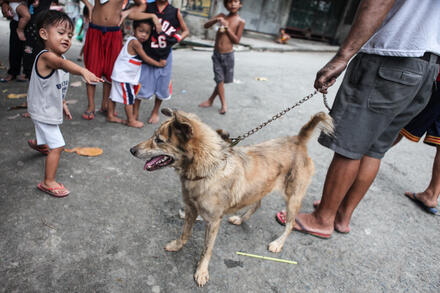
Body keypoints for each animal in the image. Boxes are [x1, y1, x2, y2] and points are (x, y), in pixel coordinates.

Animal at [131, 108, 334, 286]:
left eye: (159, 140)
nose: (132, 150)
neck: (206, 169)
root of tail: (298, 140)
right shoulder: (190, 209)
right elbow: (184, 233)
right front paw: (177, 245)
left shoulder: (213, 222)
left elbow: (206, 249)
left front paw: (202, 271)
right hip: (259, 187)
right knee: (257, 204)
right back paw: (241, 218)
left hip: (293, 199)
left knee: (290, 224)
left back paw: (278, 243)